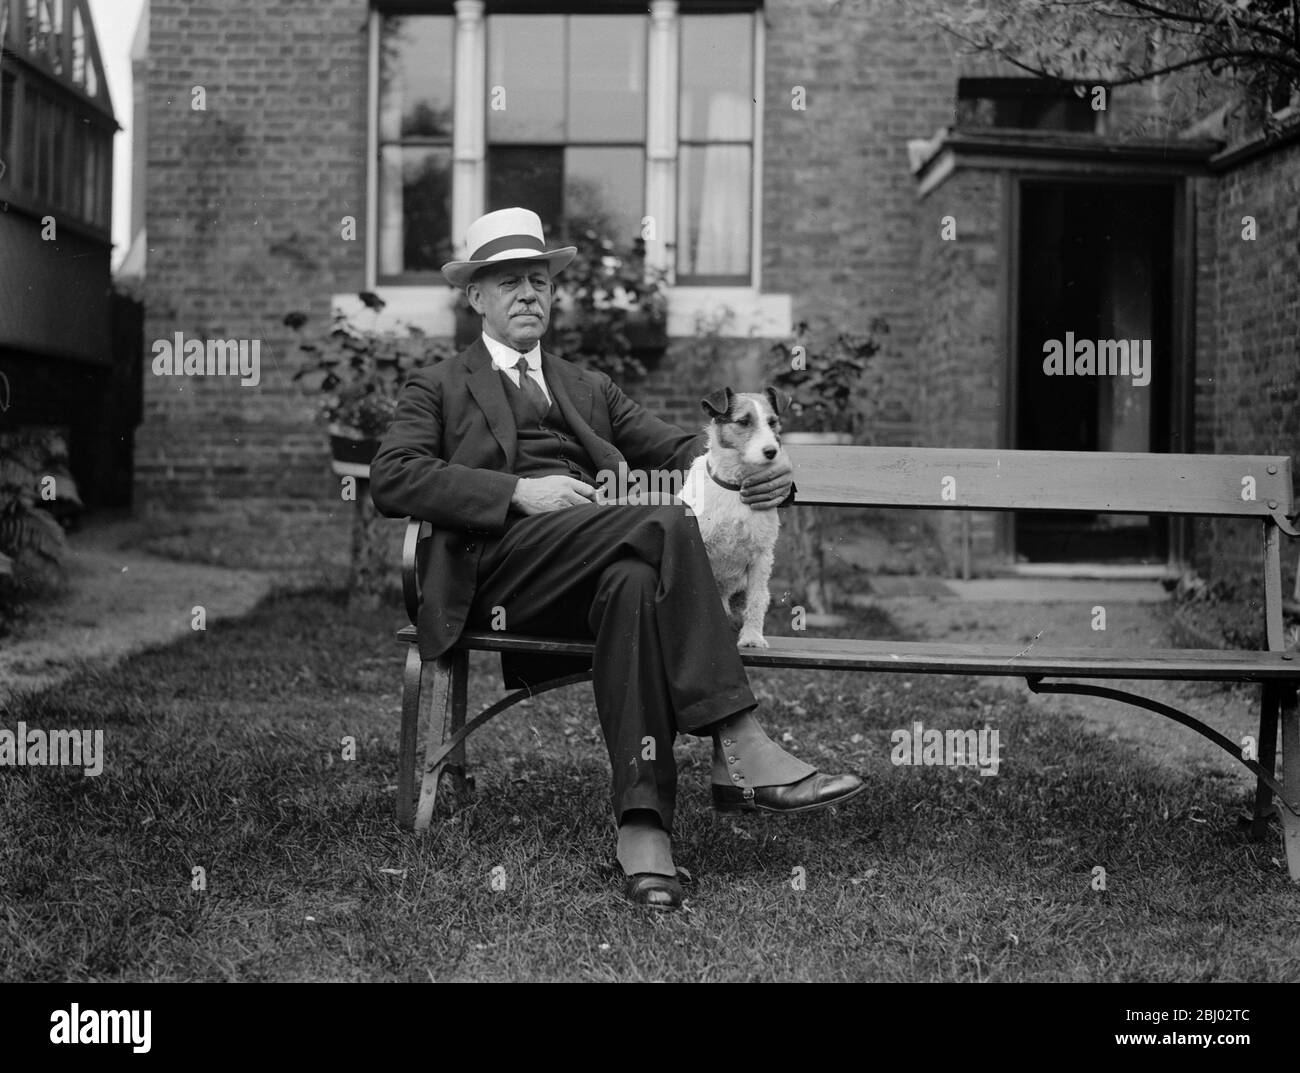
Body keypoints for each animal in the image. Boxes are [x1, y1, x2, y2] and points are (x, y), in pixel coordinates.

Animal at [681, 387, 790, 647]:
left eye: (773, 422)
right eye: (743, 421)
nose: (771, 452)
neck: (734, 487)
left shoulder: (761, 555)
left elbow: (757, 599)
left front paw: (752, 637)